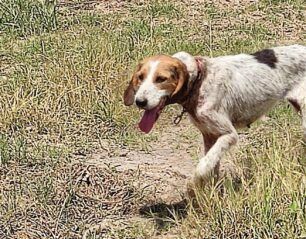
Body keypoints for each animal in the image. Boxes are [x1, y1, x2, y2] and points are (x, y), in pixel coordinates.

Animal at [123, 44, 304, 187]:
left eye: (161, 79)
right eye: (140, 77)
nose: (140, 101)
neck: (200, 80)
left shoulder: (229, 135)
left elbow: (203, 166)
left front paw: (194, 187)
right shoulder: (209, 135)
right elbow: (212, 165)